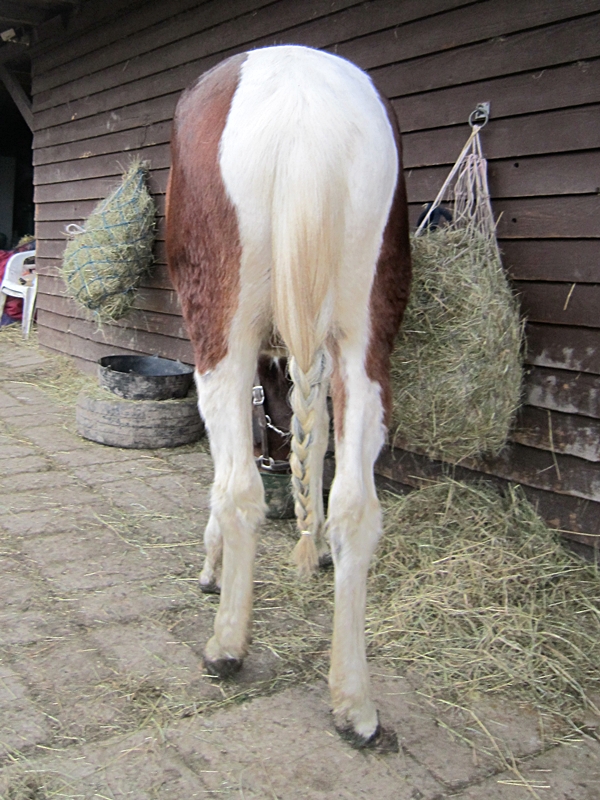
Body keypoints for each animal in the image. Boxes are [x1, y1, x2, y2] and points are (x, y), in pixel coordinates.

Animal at [166, 44, 411, 749]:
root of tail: (307, 111)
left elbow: (226, 472)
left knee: (240, 488)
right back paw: (354, 703)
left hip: (221, 327)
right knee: (357, 504)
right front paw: (318, 547)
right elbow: (319, 442)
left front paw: (212, 567)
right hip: (366, 331)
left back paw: (226, 645)